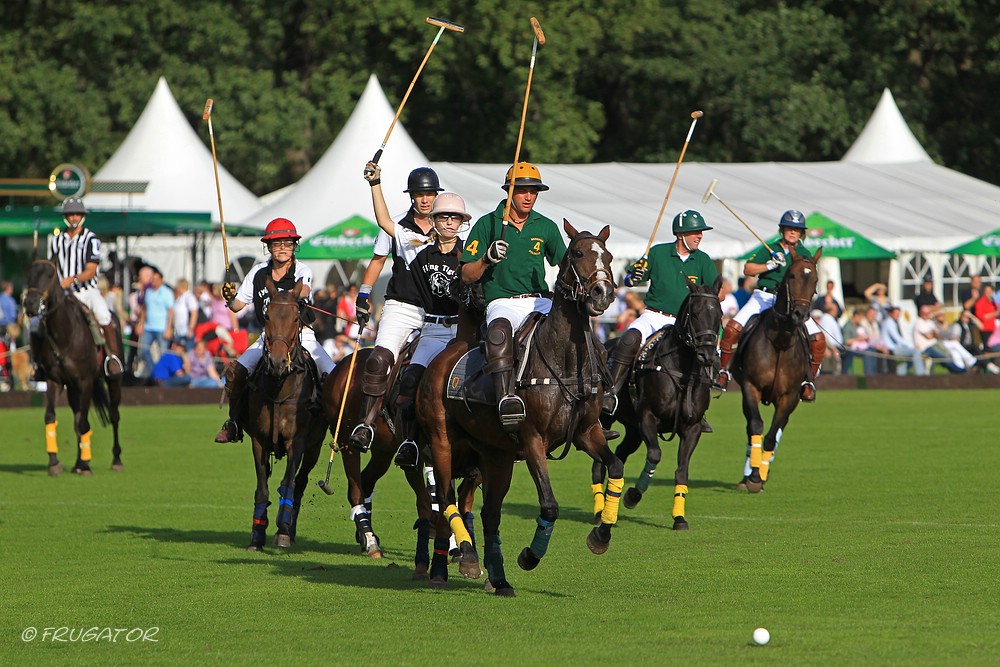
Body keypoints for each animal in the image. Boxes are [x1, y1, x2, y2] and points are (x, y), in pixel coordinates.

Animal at [22, 260, 123, 474]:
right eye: (29, 274)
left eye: (50, 274)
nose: (31, 305)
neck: (63, 334)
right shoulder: (54, 380)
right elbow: (51, 416)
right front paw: (55, 463)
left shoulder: (85, 381)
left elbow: (84, 422)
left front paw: (85, 466)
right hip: (72, 388)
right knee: (77, 418)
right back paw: (78, 462)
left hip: (112, 379)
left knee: (113, 415)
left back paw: (116, 459)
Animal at [242, 280, 324, 552]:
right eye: (267, 316)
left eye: (297, 317)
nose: (277, 362)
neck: (279, 388)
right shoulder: (258, 441)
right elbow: (262, 488)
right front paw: (257, 535)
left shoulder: (297, 443)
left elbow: (288, 483)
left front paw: (282, 532)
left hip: (315, 447)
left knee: (299, 483)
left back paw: (290, 527)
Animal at [416, 220, 620, 600]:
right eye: (577, 253)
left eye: (609, 256)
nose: (602, 293)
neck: (563, 359)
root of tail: (446, 354)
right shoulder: (533, 440)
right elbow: (550, 505)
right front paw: (529, 556)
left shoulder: (587, 433)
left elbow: (614, 465)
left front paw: (600, 536)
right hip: (441, 440)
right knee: (446, 497)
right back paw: (460, 558)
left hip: (495, 456)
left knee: (488, 513)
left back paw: (498, 579)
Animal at [588, 276, 724, 528]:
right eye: (695, 313)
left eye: (719, 313)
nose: (709, 356)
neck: (682, 371)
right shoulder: (647, 418)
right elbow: (655, 455)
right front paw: (632, 496)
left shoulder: (692, 428)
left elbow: (682, 470)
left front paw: (679, 518)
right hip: (605, 420)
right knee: (598, 465)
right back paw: (600, 510)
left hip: (632, 429)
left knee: (620, 452)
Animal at [736, 248, 820, 494]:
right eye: (791, 275)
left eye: (815, 280)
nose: (800, 315)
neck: (780, 341)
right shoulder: (750, 387)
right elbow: (756, 426)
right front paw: (752, 476)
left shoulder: (789, 397)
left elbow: (772, 436)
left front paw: (759, 476)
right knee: (751, 428)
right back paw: (747, 475)